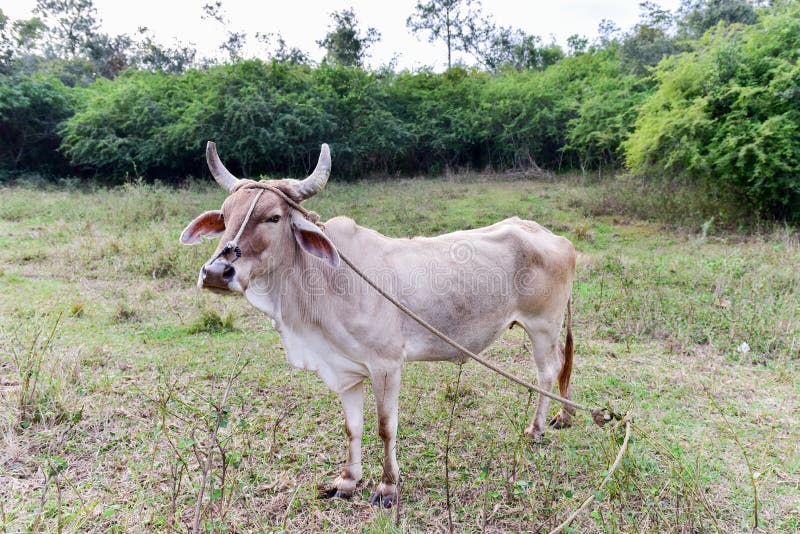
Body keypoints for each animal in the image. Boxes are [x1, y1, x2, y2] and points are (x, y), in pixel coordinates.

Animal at [180, 142, 577, 507]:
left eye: (273, 217)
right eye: (226, 215)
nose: (216, 272)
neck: (322, 283)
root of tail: (552, 236)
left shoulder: (386, 366)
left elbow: (386, 427)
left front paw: (388, 487)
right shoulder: (344, 370)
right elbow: (352, 427)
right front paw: (347, 481)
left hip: (542, 325)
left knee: (547, 371)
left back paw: (537, 428)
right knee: (561, 365)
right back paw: (565, 415)